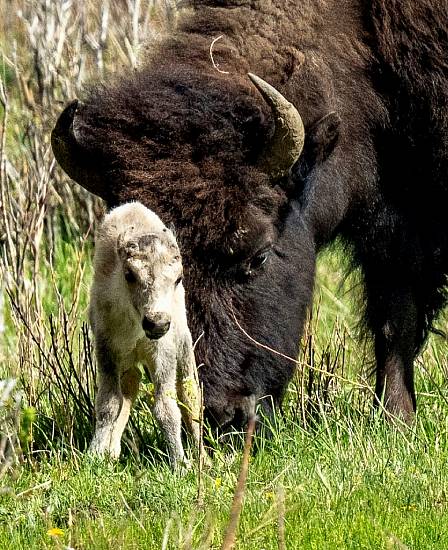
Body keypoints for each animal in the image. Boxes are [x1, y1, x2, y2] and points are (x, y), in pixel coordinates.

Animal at [51, 0, 448, 432]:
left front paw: (395, 420)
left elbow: (398, 318)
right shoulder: (391, 229)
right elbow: (393, 314)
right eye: (131, 273)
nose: (221, 415)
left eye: (259, 256)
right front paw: (396, 419)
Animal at [89, 203, 201, 470]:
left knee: (190, 394)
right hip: (128, 360)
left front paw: (180, 464)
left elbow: (166, 407)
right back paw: (112, 451)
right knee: (131, 384)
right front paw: (96, 454)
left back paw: (206, 456)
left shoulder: (163, 354)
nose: (157, 322)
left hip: (184, 347)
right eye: (130, 274)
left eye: (178, 278)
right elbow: (109, 403)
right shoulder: (107, 350)